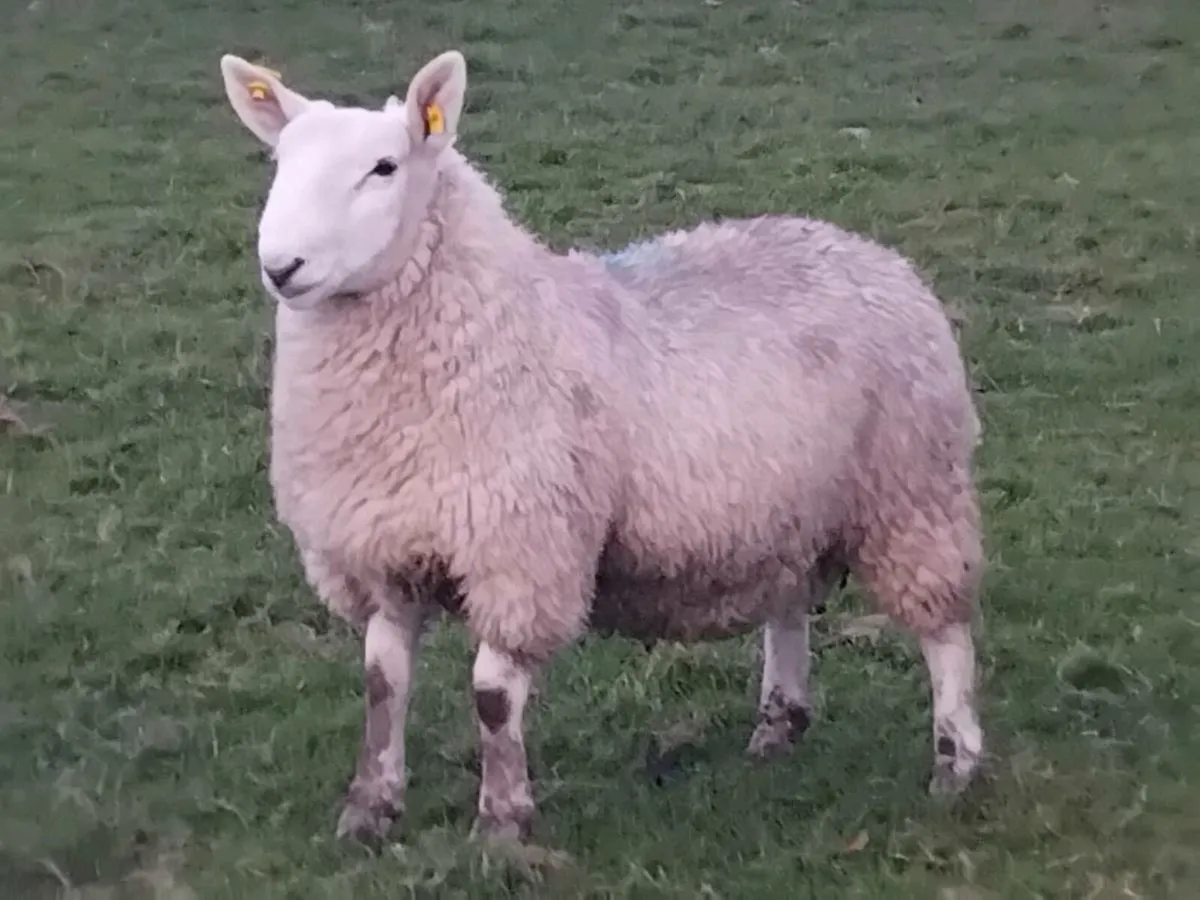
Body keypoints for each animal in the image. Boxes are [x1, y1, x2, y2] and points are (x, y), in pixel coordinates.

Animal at [218, 48, 986, 846]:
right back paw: (779, 725)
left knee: (946, 626)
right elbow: (381, 684)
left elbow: (492, 696)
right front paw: (371, 807)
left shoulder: (523, 551)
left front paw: (503, 823)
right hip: (787, 503)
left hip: (913, 488)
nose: (281, 267)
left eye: (384, 166)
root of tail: (868, 249)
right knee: (788, 600)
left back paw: (956, 762)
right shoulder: (384, 552)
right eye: (279, 160)